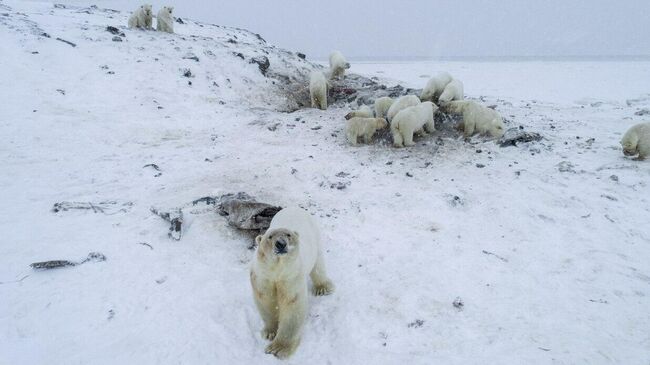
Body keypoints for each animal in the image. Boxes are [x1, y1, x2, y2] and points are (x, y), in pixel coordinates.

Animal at [249, 206, 334, 356]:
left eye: (288, 235)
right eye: (269, 236)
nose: (281, 244)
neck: (277, 269)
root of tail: (293, 207)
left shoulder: (291, 276)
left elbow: (292, 304)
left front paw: (278, 348)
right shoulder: (263, 276)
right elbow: (266, 300)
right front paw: (269, 333)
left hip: (315, 237)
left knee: (318, 264)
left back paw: (322, 288)